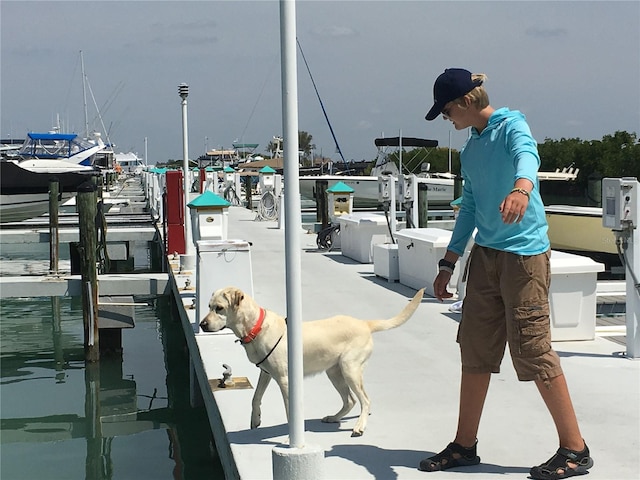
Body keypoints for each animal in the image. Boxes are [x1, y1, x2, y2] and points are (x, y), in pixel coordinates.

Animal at [198, 286, 422, 436]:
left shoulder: (285, 380)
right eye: (208, 306)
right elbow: (255, 397)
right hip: (334, 372)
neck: (255, 327)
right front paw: (255, 419)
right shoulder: (266, 372)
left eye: (219, 308)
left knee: (365, 400)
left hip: (349, 368)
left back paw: (359, 426)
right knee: (349, 400)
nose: (202, 324)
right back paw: (334, 417)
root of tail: (365, 323)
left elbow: (289, 410)